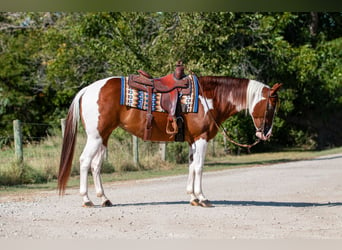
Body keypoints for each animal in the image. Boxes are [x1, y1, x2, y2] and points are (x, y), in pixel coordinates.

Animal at [58, 66, 282, 207]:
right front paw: (202, 198)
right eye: (271, 106)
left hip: (103, 137)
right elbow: (199, 167)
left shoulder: (192, 141)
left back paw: (104, 199)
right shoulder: (201, 139)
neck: (209, 98)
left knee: (96, 165)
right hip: (95, 137)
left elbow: (191, 166)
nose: (266, 133)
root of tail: (88, 89)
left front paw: (192, 197)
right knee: (84, 162)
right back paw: (87, 200)